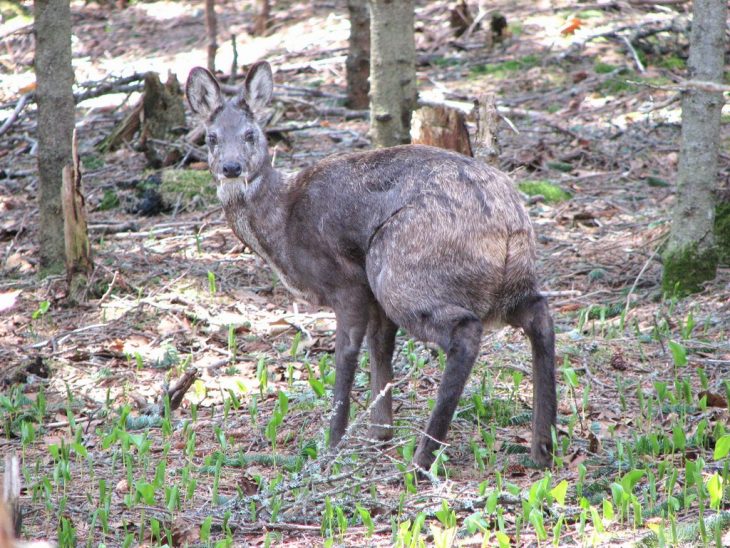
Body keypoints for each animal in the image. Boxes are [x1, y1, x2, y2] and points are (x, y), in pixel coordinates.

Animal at [185, 60, 556, 470]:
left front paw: (331, 445)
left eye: (251, 134)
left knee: (466, 331)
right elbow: (381, 347)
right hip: (509, 280)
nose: (232, 168)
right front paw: (380, 432)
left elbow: (346, 355)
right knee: (539, 313)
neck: (282, 224)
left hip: (396, 267)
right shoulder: (370, 296)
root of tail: (508, 221)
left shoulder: (346, 281)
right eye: (211, 138)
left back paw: (423, 457)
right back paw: (542, 447)